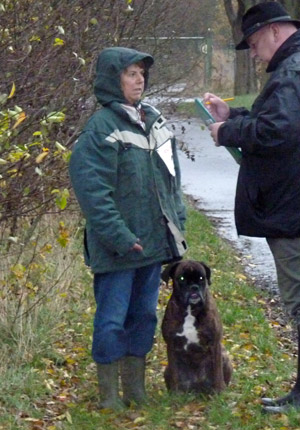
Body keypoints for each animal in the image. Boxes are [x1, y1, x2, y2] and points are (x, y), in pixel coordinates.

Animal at [162, 260, 232, 394]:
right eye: (182, 278)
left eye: (201, 278)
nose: (194, 287)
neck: (190, 310)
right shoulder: (171, 344)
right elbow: (174, 373)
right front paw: (175, 393)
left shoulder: (214, 343)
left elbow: (217, 372)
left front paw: (219, 391)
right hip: (166, 370)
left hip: (225, 357)